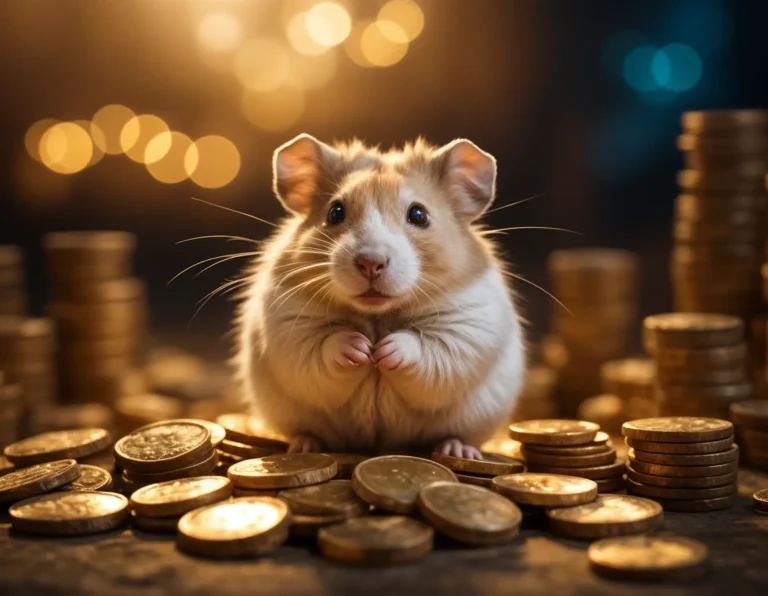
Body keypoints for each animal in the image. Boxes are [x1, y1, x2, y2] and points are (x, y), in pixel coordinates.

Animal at [236, 134, 525, 458]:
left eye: (419, 215)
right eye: (335, 212)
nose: (370, 263)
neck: (377, 314)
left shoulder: (467, 326)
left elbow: (424, 347)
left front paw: (384, 351)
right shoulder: (289, 328)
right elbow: (325, 345)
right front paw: (360, 349)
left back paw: (457, 450)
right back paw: (303, 446)